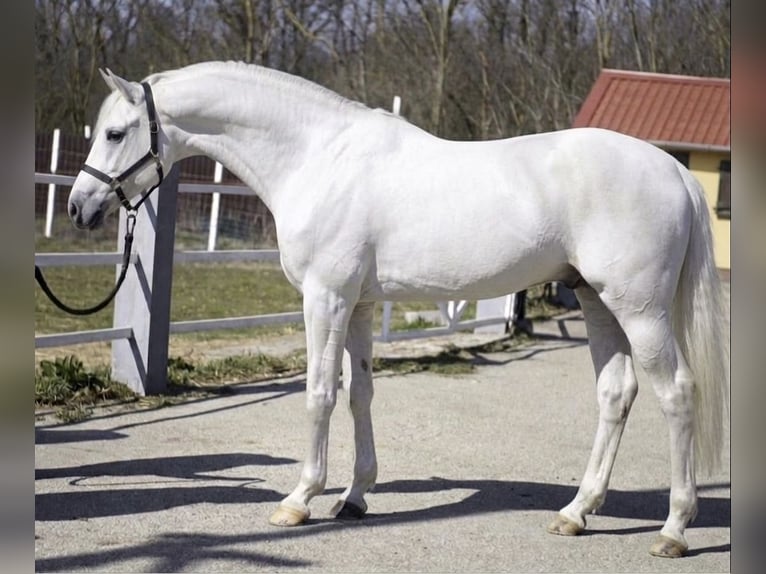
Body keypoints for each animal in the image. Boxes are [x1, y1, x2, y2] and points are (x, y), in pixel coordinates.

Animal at [67, 62, 729, 558]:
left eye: (116, 133)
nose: (78, 207)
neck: (318, 158)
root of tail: (675, 170)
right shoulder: (358, 306)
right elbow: (360, 395)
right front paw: (354, 498)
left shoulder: (326, 297)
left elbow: (319, 394)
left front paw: (299, 500)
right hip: (596, 302)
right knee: (616, 394)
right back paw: (576, 512)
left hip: (638, 309)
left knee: (676, 393)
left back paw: (674, 530)